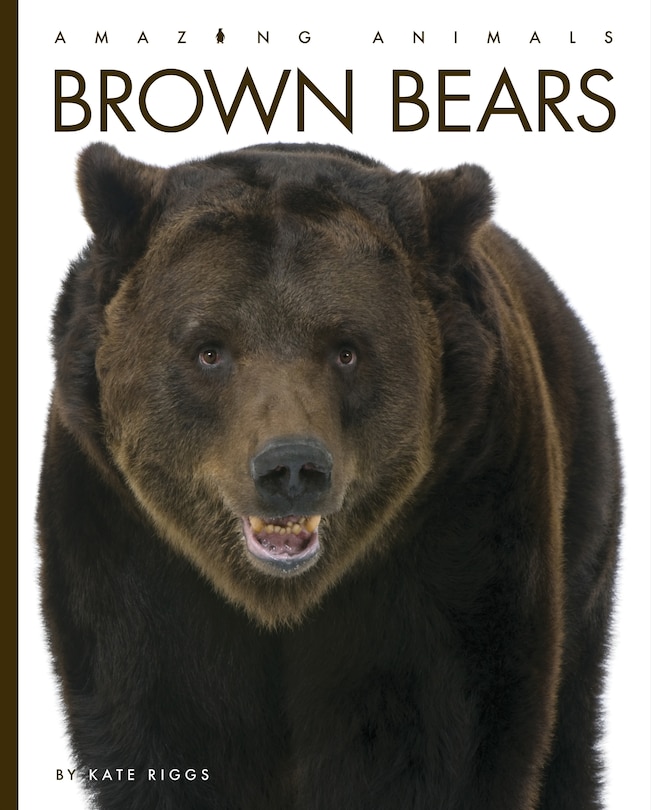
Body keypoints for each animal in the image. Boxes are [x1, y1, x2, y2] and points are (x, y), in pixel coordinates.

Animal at [38, 141, 621, 810]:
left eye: (347, 349)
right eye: (209, 349)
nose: (291, 466)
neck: (279, 600)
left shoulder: (458, 529)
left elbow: (443, 733)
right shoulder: (129, 547)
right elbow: (167, 724)